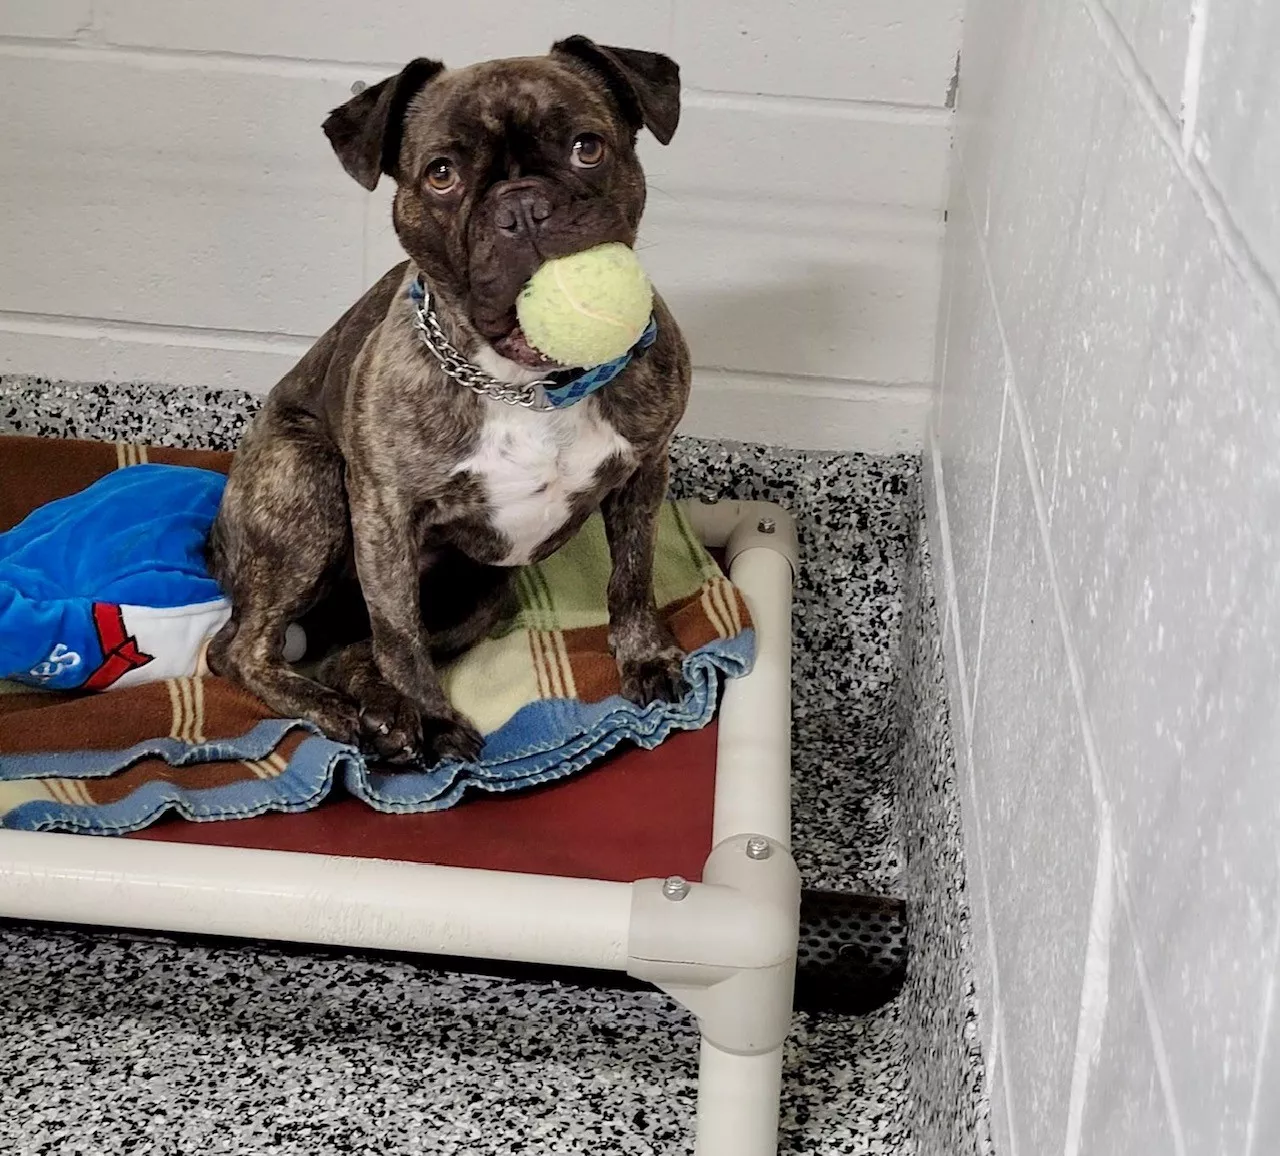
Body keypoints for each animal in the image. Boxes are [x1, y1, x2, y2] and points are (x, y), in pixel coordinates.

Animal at [207, 38, 691, 768]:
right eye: (441, 174)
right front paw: (434, 720)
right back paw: (349, 714)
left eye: (587, 147)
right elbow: (400, 635)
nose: (522, 207)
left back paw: (379, 712)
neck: (528, 386)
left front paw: (645, 658)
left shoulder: (645, 470)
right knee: (241, 650)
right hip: (309, 493)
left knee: (352, 653)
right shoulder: (384, 514)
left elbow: (631, 577)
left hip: (480, 595)